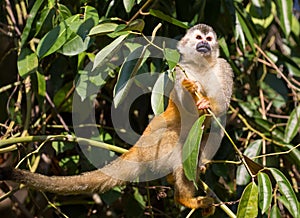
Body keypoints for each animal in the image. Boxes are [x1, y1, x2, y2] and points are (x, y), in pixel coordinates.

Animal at [0, 23, 232, 211]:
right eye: (198, 38)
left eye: (208, 39)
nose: (204, 45)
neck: (200, 66)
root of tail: (137, 148)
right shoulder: (178, 69)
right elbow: (183, 101)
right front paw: (193, 90)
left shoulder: (224, 67)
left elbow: (221, 109)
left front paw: (207, 103)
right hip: (153, 147)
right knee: (181, 142)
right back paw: (184, 199)